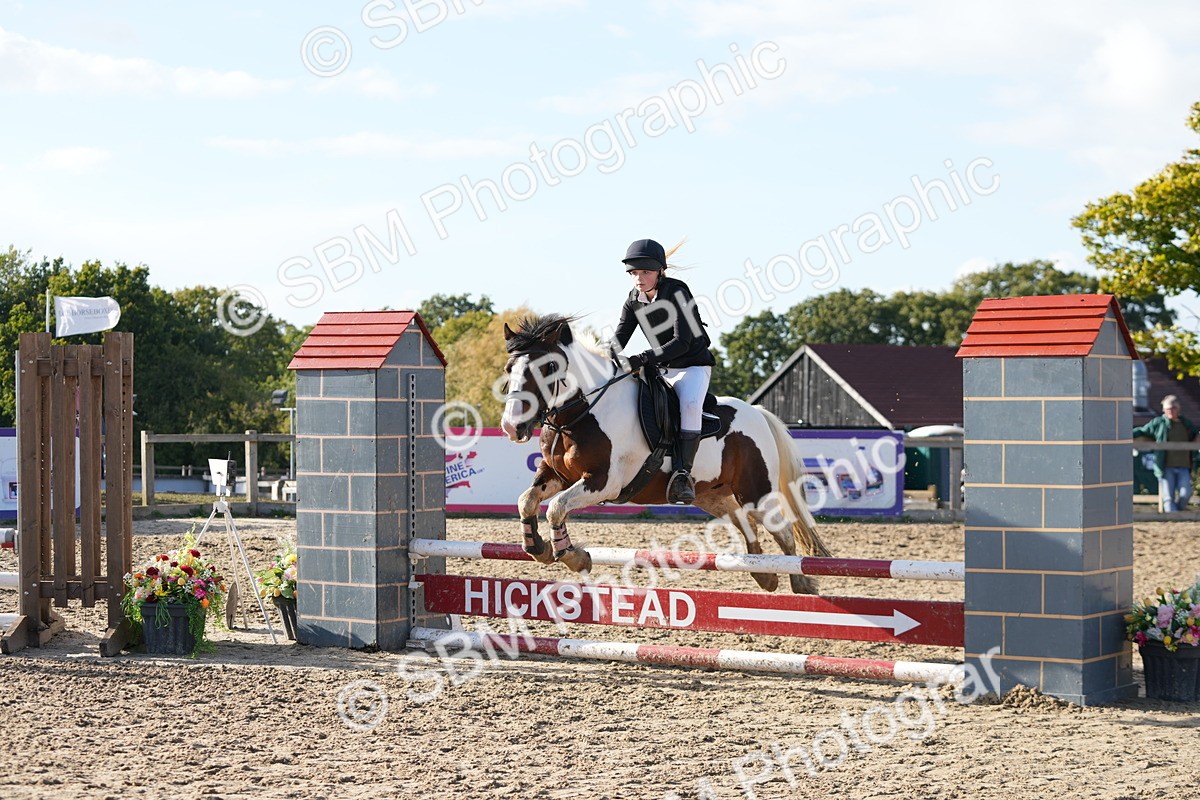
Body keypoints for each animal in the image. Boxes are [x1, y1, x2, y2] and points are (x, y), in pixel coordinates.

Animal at [499, 313, 831, 594]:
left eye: (547, 369)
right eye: (509, 370)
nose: (512, 427)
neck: (580, 413)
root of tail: (758, 413)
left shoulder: (604, 482)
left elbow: (555, 507)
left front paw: (575, 557)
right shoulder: (557, 475)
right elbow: (527, 500)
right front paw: (539, 548)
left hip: (756, 492)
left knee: (782, 532)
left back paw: (801, 584)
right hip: (711, 495)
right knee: (745, 523)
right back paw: (765, 576)